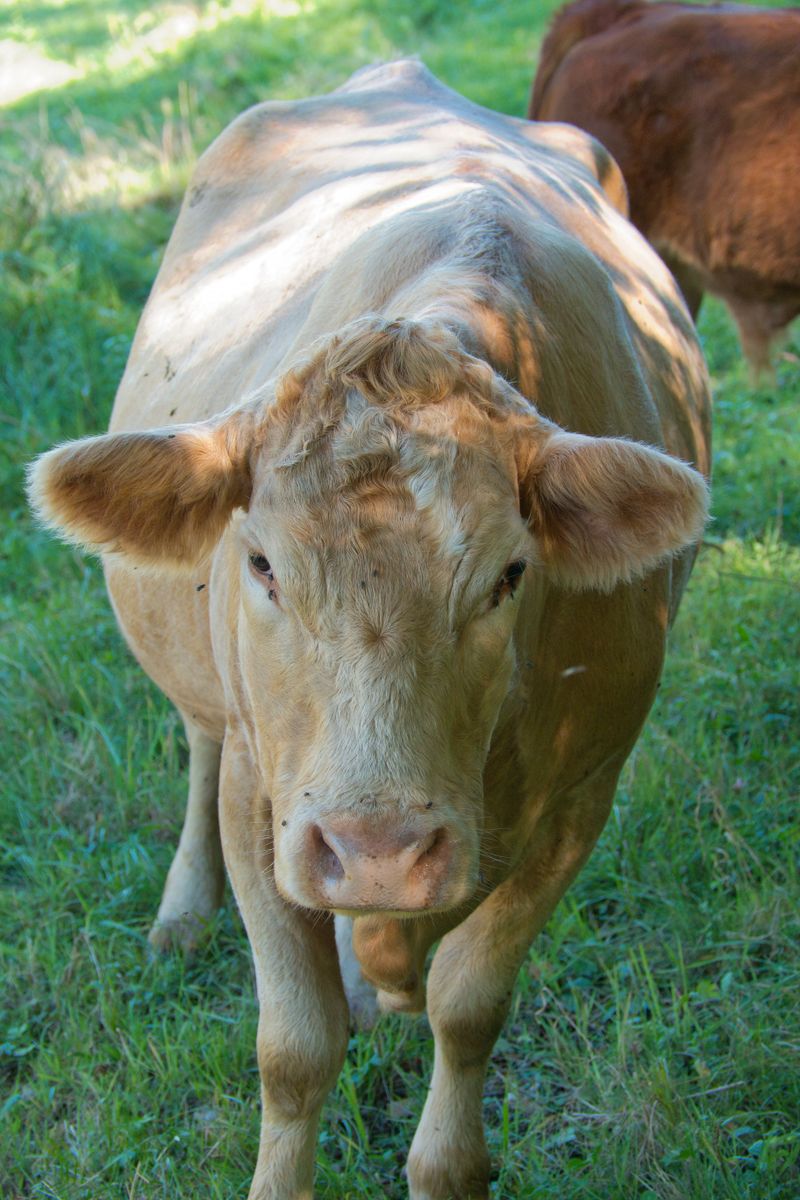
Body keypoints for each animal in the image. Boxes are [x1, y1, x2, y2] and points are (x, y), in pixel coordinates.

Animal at [28, 60, 710, 1200]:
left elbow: (467, 1005)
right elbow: (293, 1047)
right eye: (261, 564)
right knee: (197, 741)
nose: (377, 849)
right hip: (221, 719)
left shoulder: (587, 789)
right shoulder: (260, 791)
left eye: (509, 576)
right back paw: (184, 916)